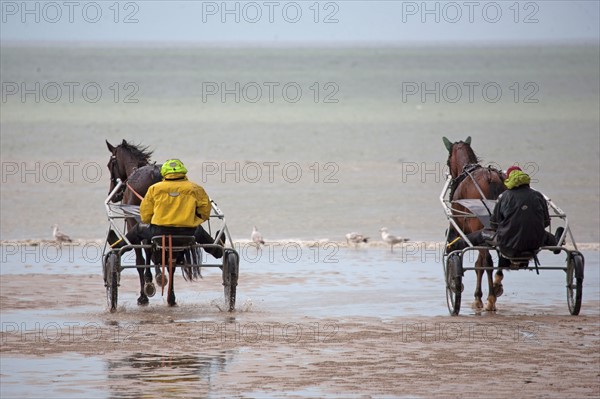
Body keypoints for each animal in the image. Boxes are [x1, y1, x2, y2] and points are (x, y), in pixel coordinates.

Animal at [105, 141, 162, 306]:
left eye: (110, 164)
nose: (113, 194)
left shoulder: (133, 222)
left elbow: (141, 259)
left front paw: (145, 292)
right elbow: (153, 250)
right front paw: (156, 276)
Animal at [440, 138, 506, 312]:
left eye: (448, 160)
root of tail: (490, 177)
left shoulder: (461, 229)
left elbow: (478, 263)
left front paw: (478, 297)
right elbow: (478, 264)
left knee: (488, 262)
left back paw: (491, 298)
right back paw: (496, 285)